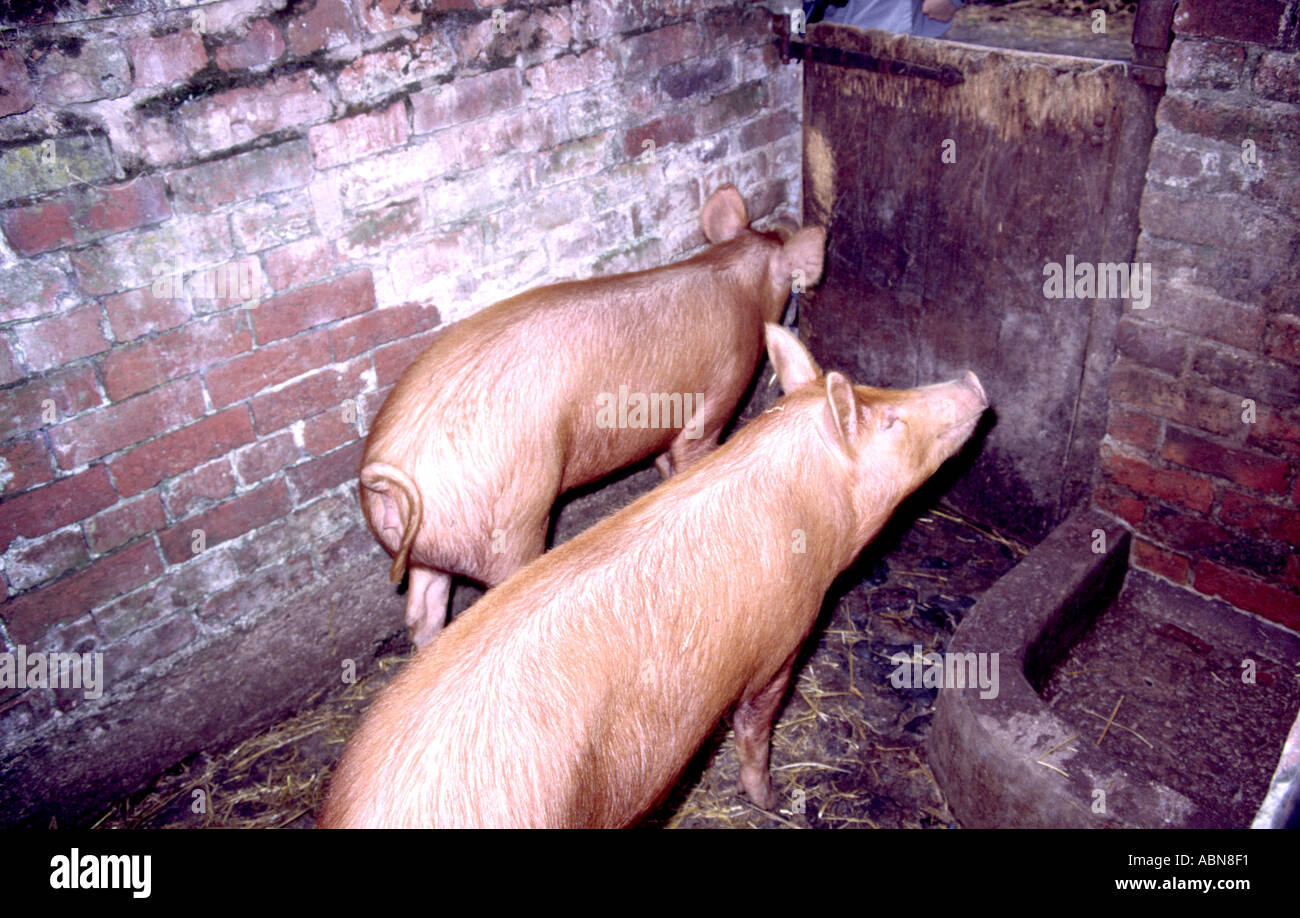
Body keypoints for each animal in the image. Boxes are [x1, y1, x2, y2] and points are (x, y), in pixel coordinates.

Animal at [321, 323, 988, 828]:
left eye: (881, 388)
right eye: (889, 422)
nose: (974, 381)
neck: (811, 511)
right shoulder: (779, 647)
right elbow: (755, 731)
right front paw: (770, 801)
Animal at [361, 185, 828, 648]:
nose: (783, 222)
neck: (740, 282)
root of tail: (385, 473)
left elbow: (664, 463)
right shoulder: (714, 402)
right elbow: (692, 454)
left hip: (430, 553)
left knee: (423, 613)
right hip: (509, 526)